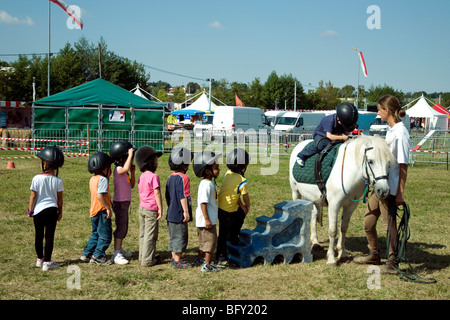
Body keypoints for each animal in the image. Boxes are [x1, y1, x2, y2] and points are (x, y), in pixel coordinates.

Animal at [292, 135, 394, 264]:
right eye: (370, 161)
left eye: (388, 163)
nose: (383, 190)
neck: (348, 171)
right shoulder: (334, 205)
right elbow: (333, 230)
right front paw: (331, 258)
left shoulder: (350, 206)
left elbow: (344, 228)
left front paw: (343, 253)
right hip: (296, 193)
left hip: (315, 200)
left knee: (314, 215)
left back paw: (315, 242)